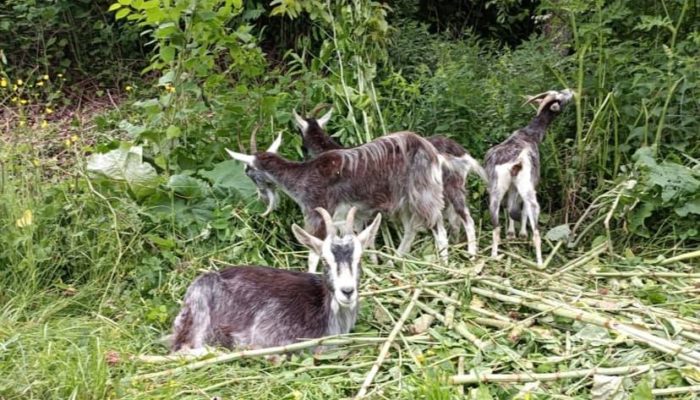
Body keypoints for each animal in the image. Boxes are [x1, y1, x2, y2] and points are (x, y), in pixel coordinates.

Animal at [227, 128, 448, 272]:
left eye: (247, 171)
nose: (261, 196)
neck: (301, 175)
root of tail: (432, 152)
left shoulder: (316, 213)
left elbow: (313, 254)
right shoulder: (344, 218)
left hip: (423, 193)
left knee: (438, 227)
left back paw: (444, 266)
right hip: (404, 202)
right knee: (411, 230)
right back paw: (394, 261)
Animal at [484, 89, 576, 268]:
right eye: (560, 97)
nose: (570, 91)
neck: (529, 135)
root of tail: (518, 160)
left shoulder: (512, 187)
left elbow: (510, 207)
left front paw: (512, 234)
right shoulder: (533, 183)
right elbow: (522, 209)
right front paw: (521, 234)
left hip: (495, 190)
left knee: (496, 226)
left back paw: (494, 256)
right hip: (529, 189)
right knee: (535, 227)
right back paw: (540, 263)